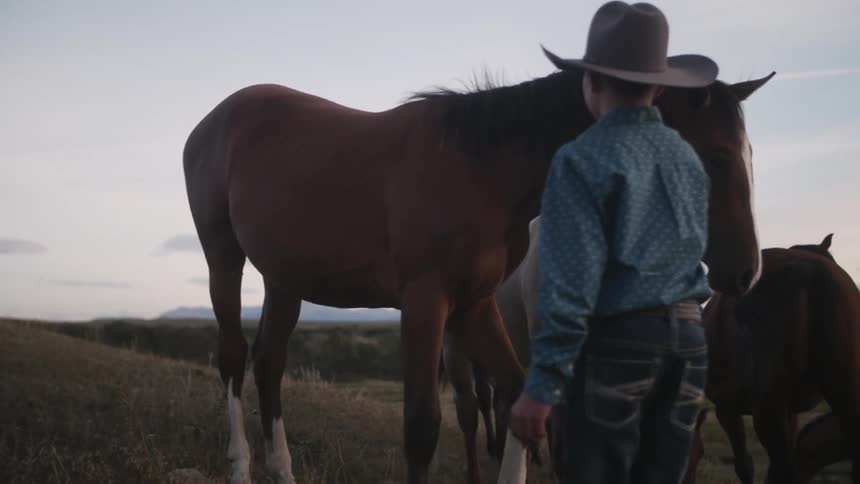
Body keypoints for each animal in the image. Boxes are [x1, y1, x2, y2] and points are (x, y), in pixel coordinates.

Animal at [183, 65, 770, 484]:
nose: (745, 271)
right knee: (233, 356)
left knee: (269, 363)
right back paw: (240, 466)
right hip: (223, 257)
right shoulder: (425, 303)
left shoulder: (473, 304)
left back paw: (281, 470)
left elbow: (517, 404)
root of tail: (217, 117)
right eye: (714, 158)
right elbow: (422, 427)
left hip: (285, 279)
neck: (484, 170)